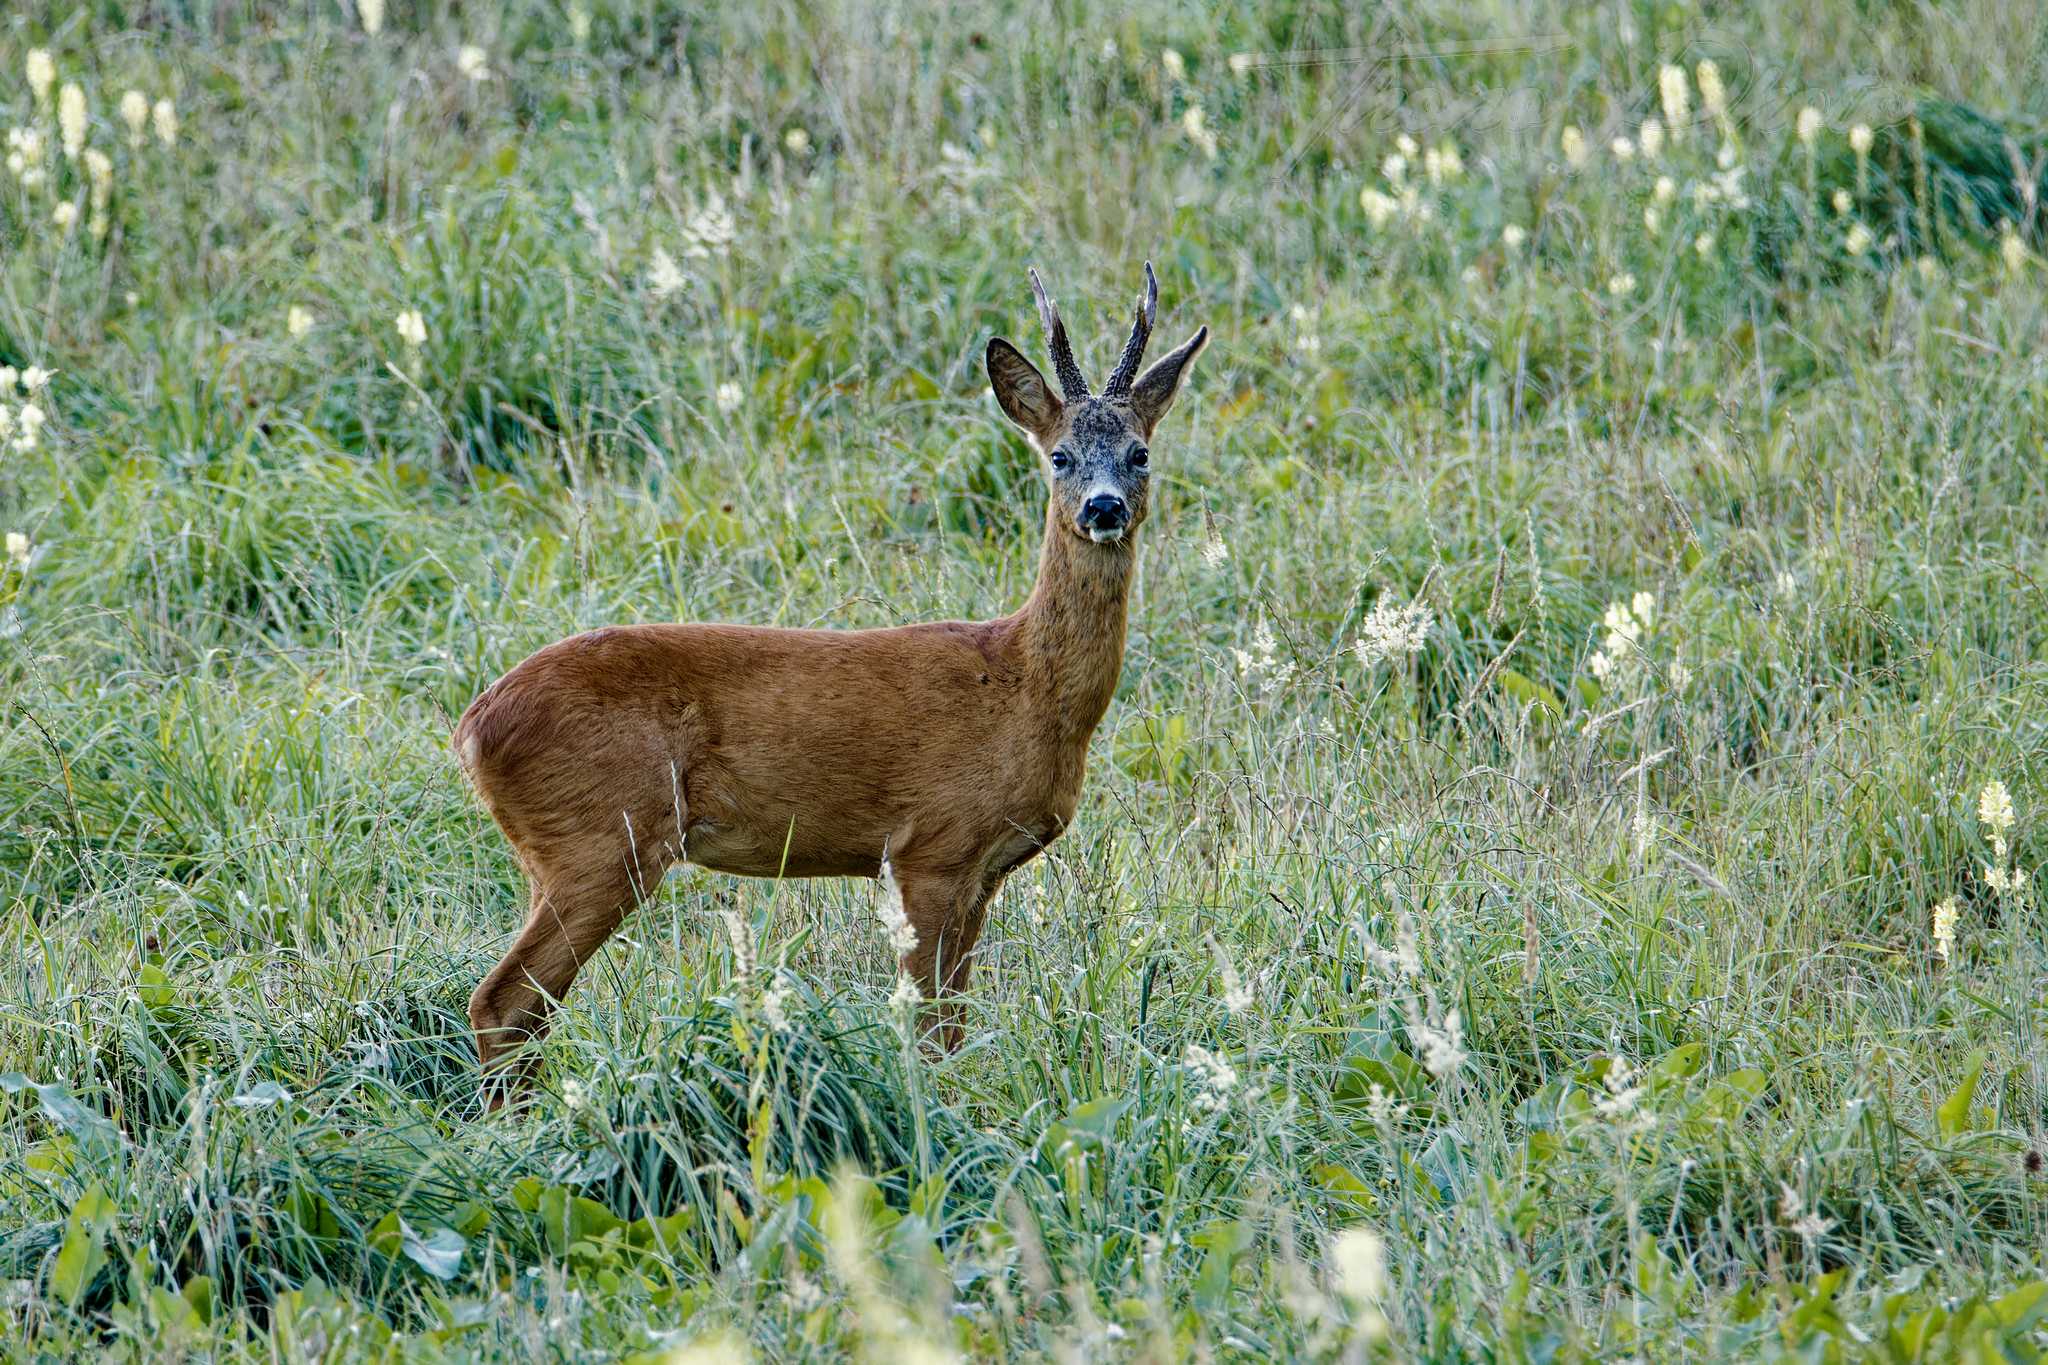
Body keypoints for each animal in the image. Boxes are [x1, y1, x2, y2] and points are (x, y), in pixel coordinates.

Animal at [456, 263, 1204, 1096]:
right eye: (1060, 456)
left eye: (1139, 453)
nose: (1103, 507)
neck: (1021, 684)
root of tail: (473, 726)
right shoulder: (931, 845)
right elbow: (929, 1030)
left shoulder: (980, 873)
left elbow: (954, 1024)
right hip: (600, 835)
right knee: (504, 999)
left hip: (561, 850)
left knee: (524, 1008)